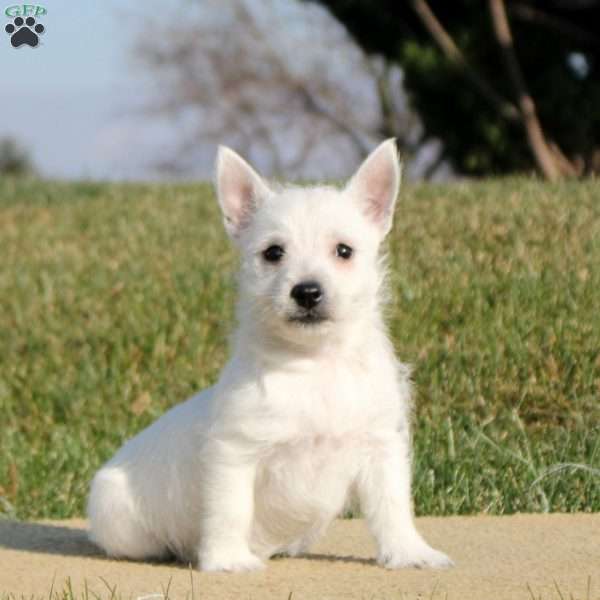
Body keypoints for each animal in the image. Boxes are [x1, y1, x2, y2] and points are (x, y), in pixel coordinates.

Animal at [86, 139, 452, 572]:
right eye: (273, 253)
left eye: (344, 251)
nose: (307, 292)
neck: (315, 365)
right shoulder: (235, 454)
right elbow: (230, 510)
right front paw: (227, 560)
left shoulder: (380, 447)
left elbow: (392, 506)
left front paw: (410, 552)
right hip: (117, 516)